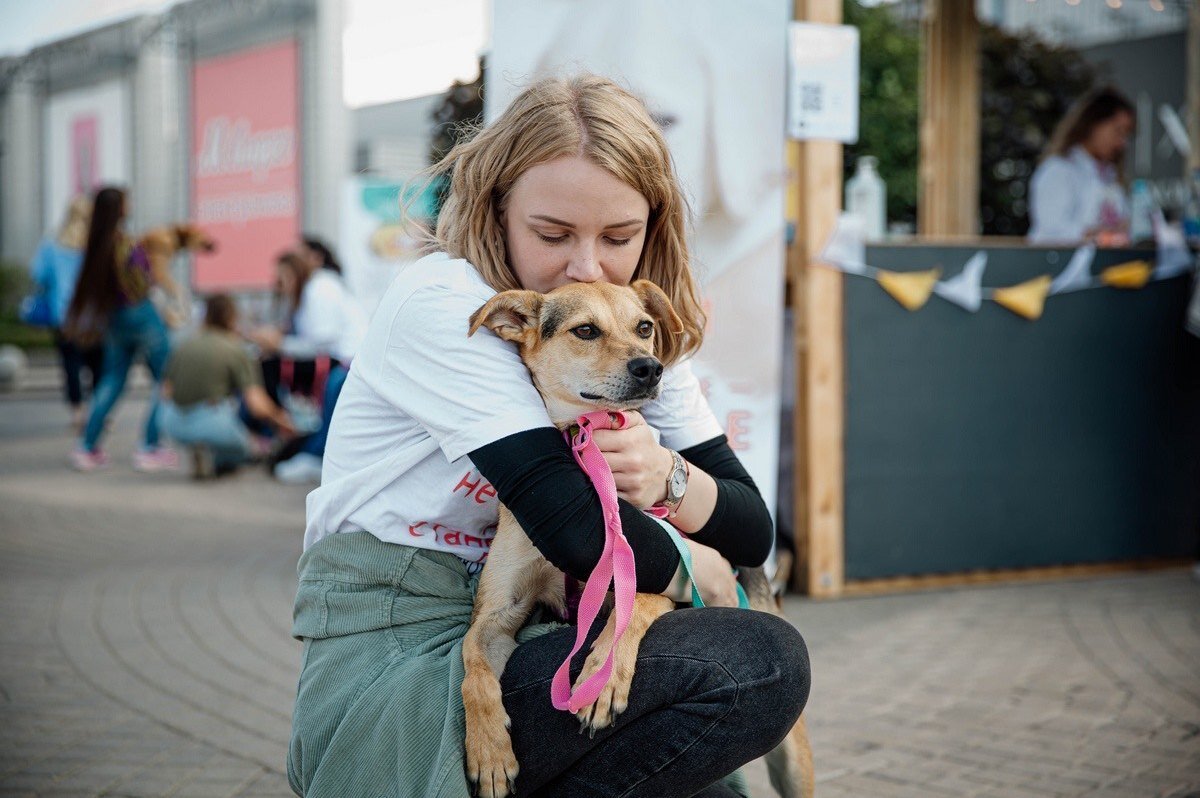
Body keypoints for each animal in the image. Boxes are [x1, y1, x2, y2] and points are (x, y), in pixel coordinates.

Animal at [460, 278, 816, 796]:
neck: (589, 455)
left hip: (792, 758)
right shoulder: (500, 611)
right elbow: (472, 660)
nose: (651, 367)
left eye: (645, 327)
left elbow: (633, 607)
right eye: (585, 330)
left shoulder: (649, 569)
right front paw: (488, 747)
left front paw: (603, 677)